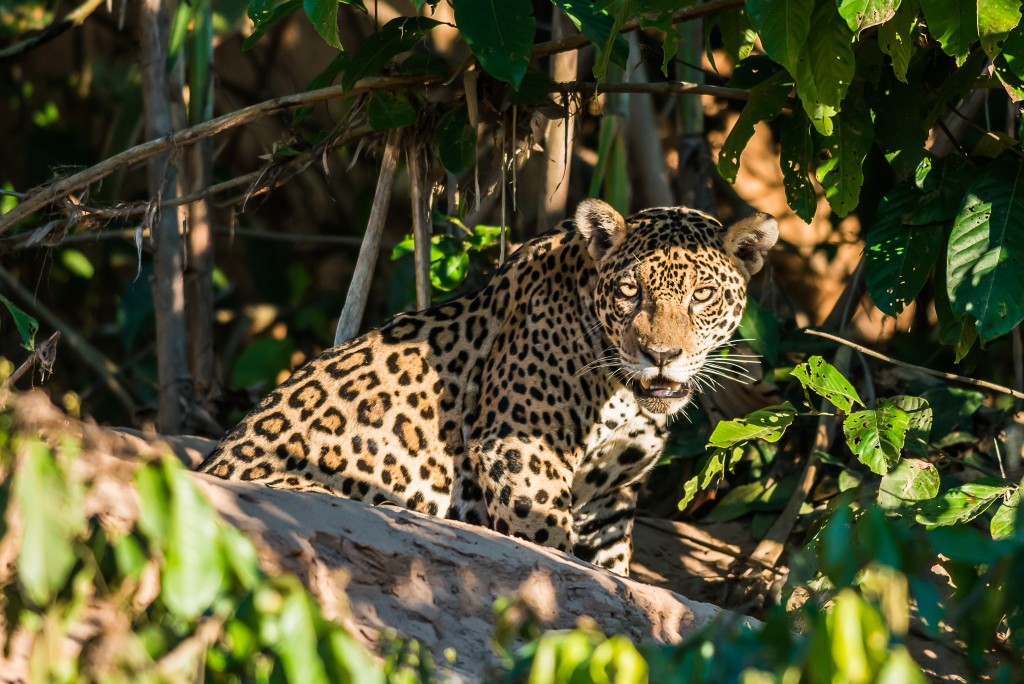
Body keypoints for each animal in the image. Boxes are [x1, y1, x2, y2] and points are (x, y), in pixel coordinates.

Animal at [198, 199, 778, 576]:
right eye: (630, 292)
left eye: (702, 295)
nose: (660, 357)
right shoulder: (520, 450)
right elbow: (548, 545)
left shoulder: (610, 496)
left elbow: (612, 573)